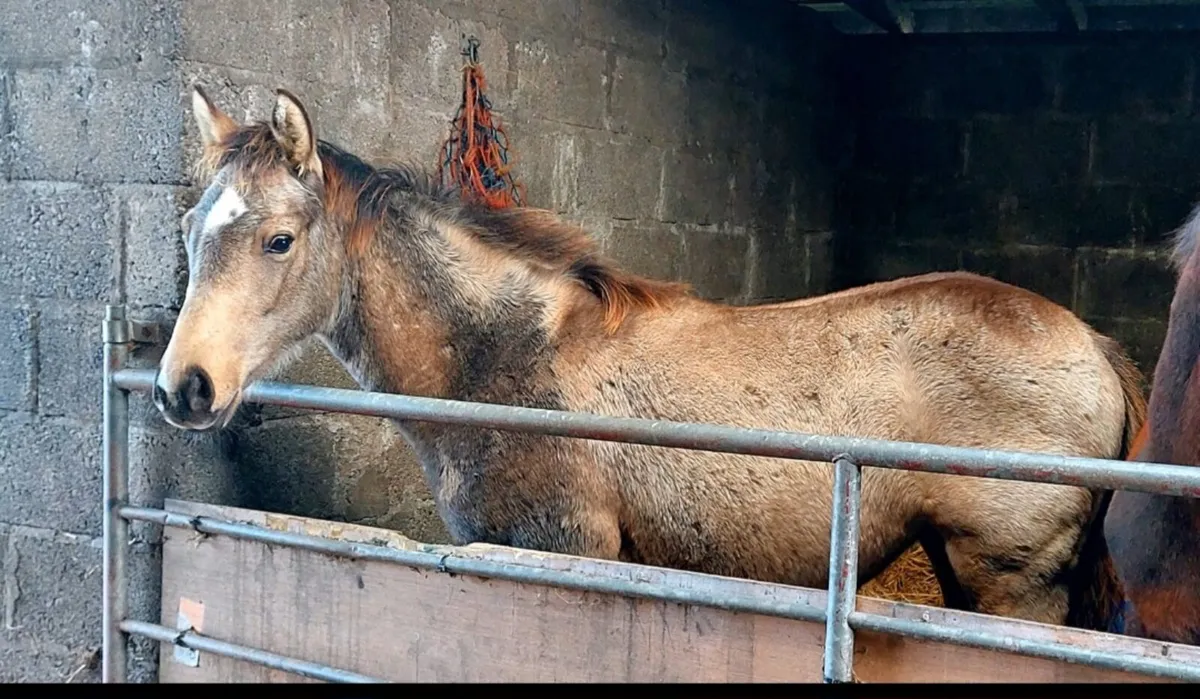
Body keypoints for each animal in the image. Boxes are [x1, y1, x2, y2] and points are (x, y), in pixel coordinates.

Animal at [153, 84, 1147, 630]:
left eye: (279, 240)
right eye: (193, 227)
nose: (183, 387)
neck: (503, 358)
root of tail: (1093, 344)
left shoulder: (564, 550)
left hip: (1017, 586)